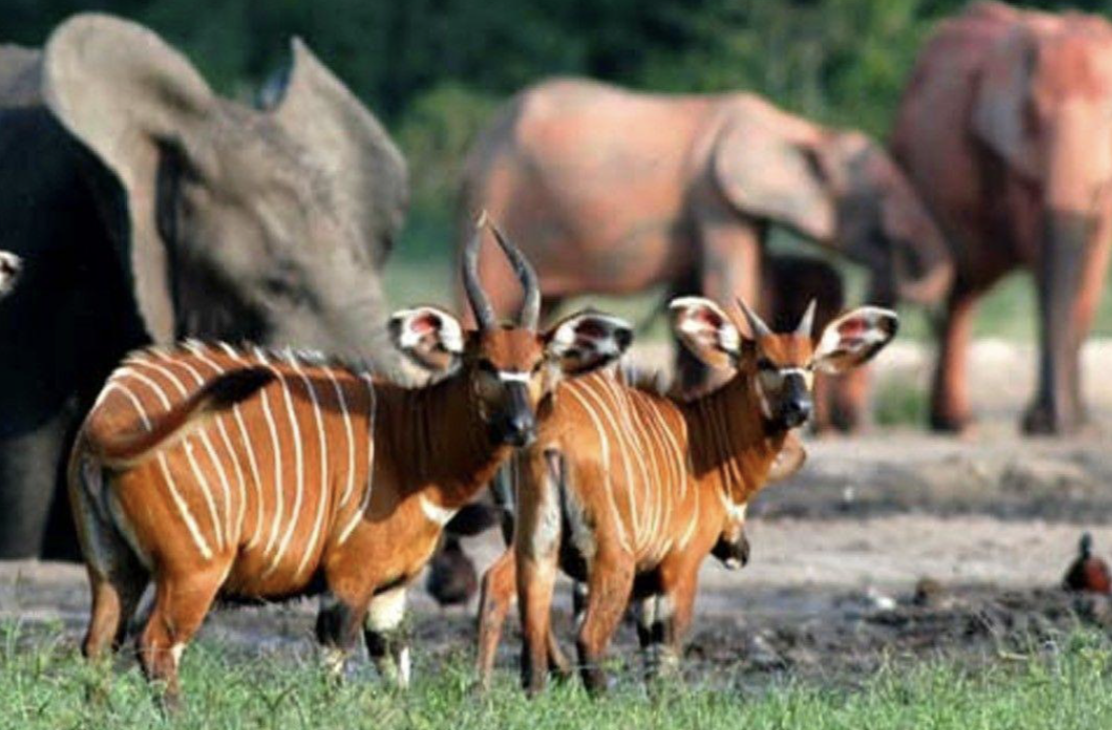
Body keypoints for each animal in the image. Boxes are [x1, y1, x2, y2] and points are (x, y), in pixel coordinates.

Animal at [67, 218, 636, 707]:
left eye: (537, 364)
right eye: (484, 364)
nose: (520, 428)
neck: (413, 443)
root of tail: (108, 414)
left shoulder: (390, 591)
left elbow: (396, 669)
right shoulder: (349, 579)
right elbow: (335, 663)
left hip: (114, 569)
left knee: (98, 645)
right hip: (195, 571)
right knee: (155, 644)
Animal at [475, 293, 894, 694]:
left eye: (809, 365)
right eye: (764, 362)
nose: (800, 407)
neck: (704, 436)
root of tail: (549, 437)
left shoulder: (646, 582)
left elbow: (651, 659)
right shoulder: (680, 567)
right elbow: (667, 662)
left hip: (539, 549)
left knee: (529, 643)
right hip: (610, 558)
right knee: (587, 636)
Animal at [889, 2, 1112, 436]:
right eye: (1033, 116)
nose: (1055, 421)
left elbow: (1092, 265)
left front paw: (1074, 425)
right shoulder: (1012, 153)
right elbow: (1044, 259)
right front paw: (1048, 425)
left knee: (965, 287)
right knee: (960, 285)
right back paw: (957, 424)